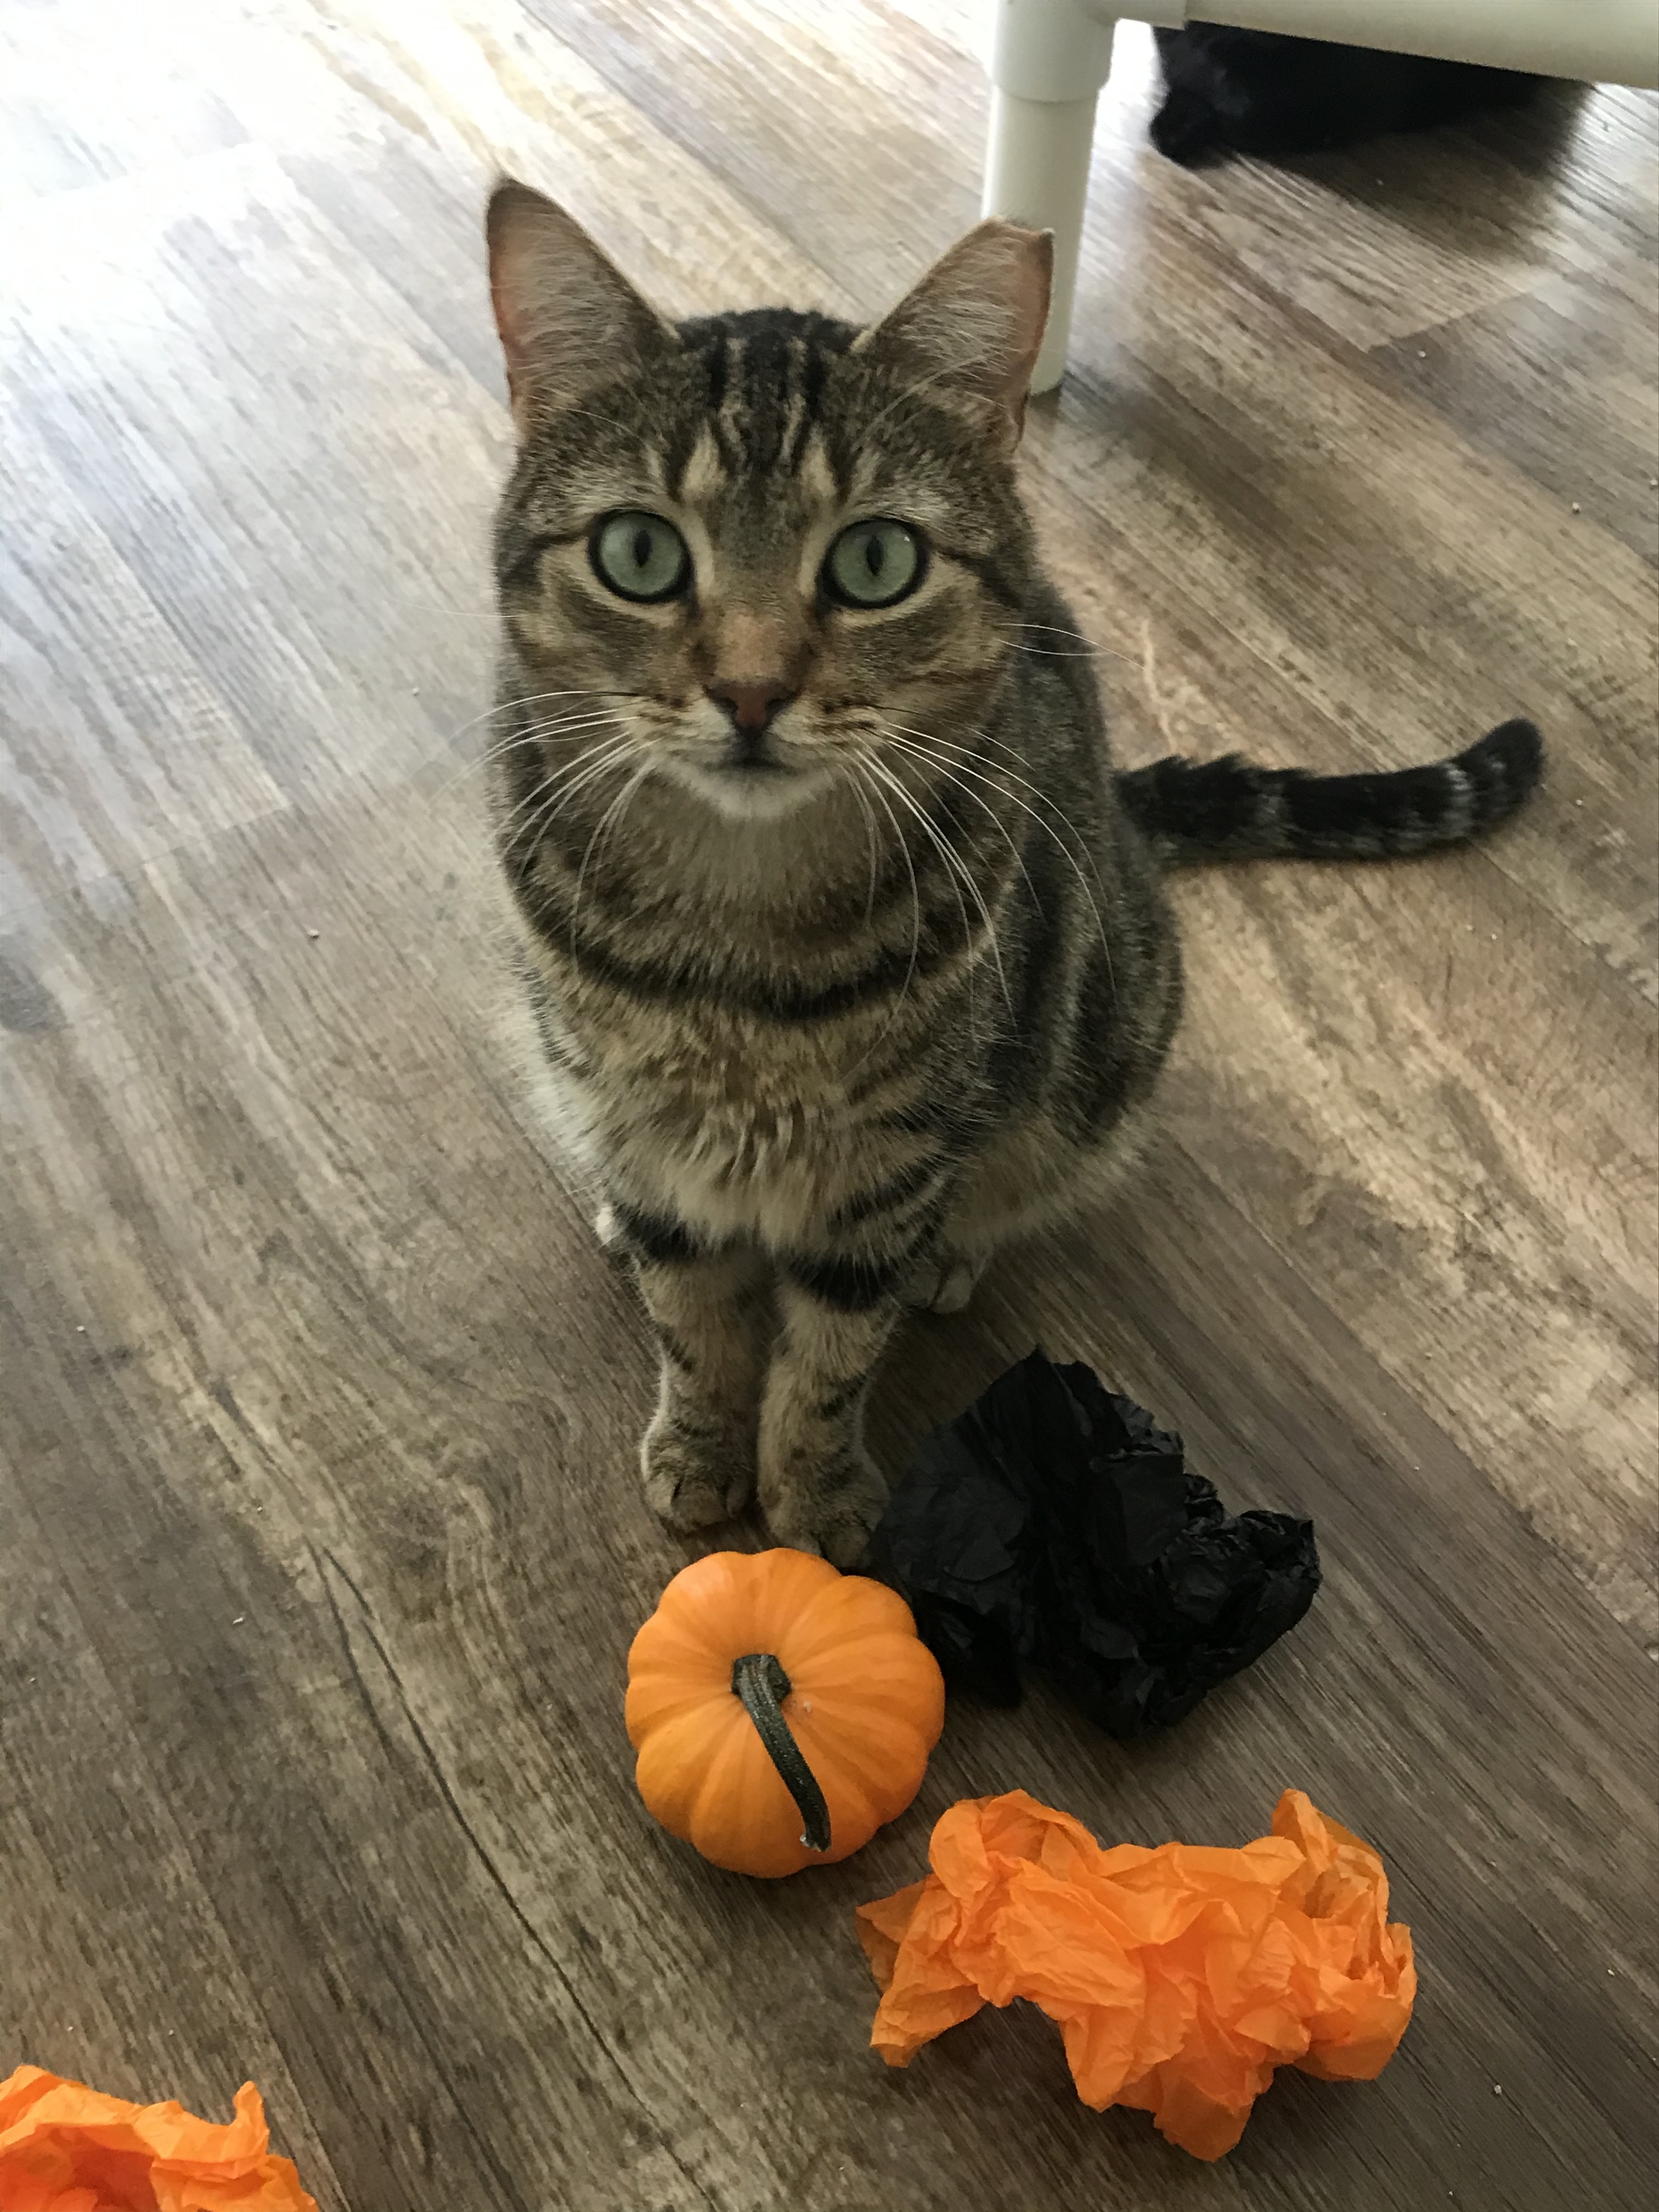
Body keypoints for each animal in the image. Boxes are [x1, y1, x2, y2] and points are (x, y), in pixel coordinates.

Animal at [479, 181, 1548, 1566]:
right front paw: (702, 1449)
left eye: (876, 563)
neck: (739, 929)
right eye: (640, 556)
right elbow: (693, 1321)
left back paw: (952, 1256)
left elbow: (830, 1356)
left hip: (1096, 1051)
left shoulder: (892, 1157)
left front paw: (815, 1497)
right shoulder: (642, 1121)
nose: (753, 692)